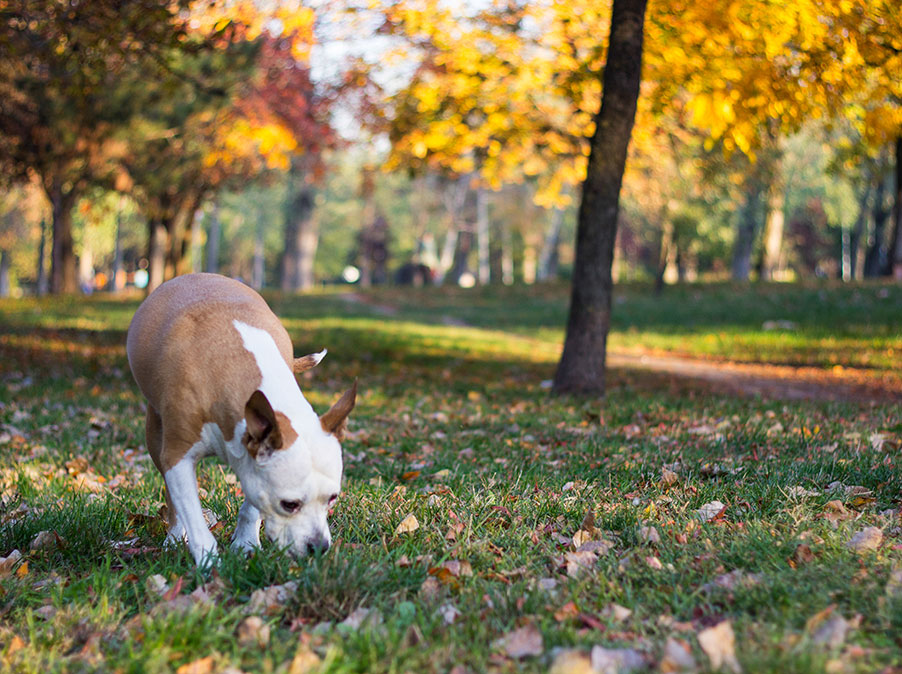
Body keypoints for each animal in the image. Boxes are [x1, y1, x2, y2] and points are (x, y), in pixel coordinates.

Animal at [127, 270, 356, 564]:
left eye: (332, 498)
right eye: (289, 504)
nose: (319, 547)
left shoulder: (255, 454)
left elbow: (252, 504)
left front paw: (246, 544)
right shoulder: (178, 458)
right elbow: (192, 515)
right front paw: (209, 563)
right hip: (156, 435)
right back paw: (175, 537)